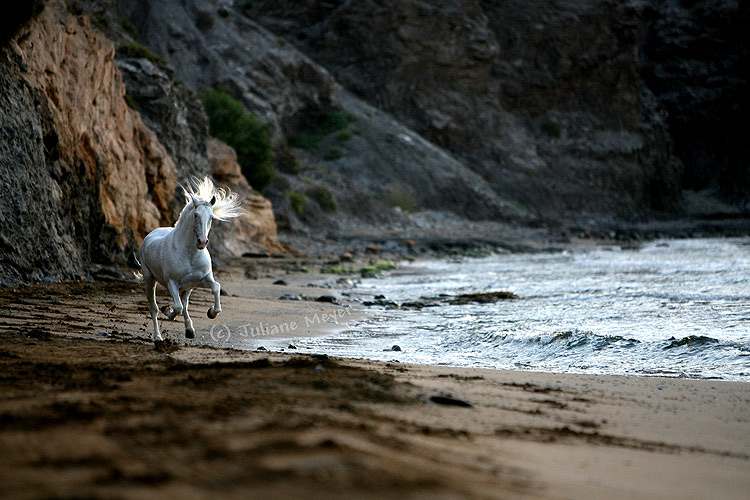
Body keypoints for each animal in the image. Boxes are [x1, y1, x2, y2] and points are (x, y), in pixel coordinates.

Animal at [135, 176, 241, 344]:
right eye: (196, 215)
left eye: (211, 217)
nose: (202, 242)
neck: (190, 254)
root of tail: (150, 235)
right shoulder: (172, 283)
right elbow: (176, 307)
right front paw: (168, 311)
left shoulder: (203, 278)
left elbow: (216, 287)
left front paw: (211, 312)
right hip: (149, 279)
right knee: (154, 307)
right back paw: (158, 336)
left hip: (188, 286)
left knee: (185, 304)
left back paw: (190, 330)